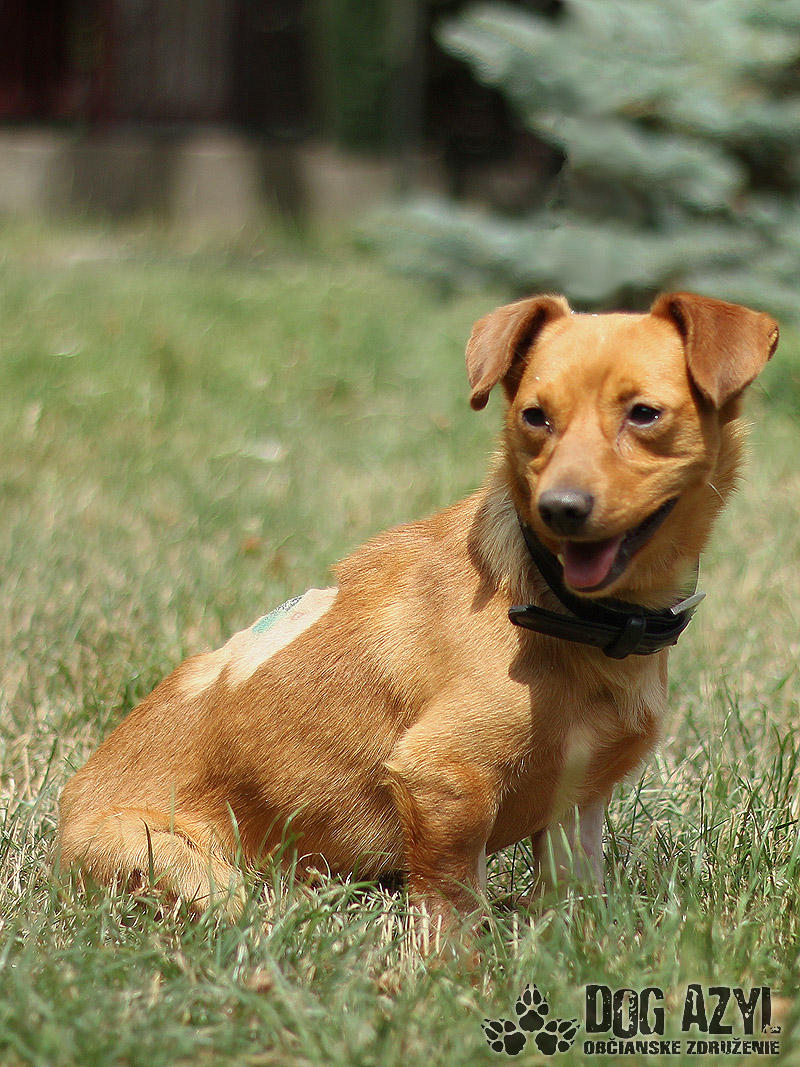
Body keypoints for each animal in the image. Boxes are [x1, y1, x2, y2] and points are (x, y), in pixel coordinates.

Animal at [56, 292, 778, 928]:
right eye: (534, 416)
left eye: (645, 414)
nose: (560, 508)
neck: (563, 608)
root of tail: (62, 820)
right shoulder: (442, 779)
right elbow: (452, 905)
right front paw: (451, 972)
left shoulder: (578, 807)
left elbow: (571, 905)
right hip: (174, 863)